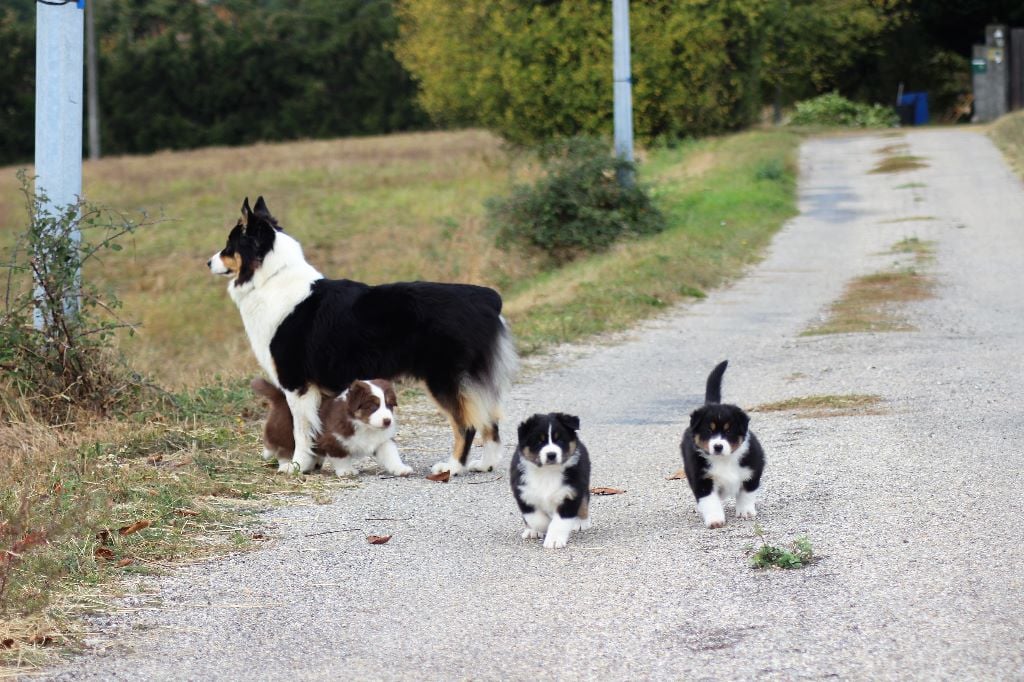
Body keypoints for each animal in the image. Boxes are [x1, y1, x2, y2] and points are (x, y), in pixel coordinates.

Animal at [207, 196, 516, 473]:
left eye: (229, 245)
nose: (208, 263)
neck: (271, 278)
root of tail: (487, 297)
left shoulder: (298, 385)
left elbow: (301, 430)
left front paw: (297, 466)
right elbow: (317, 427)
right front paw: (315, 463)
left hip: (445, 379)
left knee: (467, 424)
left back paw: (452, 467)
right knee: (491, 422)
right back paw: (485, 465)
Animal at [509, 409, 593, 548]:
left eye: (559, 440)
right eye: (539, 442)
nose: (551, 455)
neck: (547, 472)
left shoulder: (570, 493)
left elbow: (559, 522)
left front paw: (554, 540)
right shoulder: (523, 493)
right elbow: (536, 518)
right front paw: (541, 527)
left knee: (584, 500)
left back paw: (581, 522)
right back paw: (531, 531)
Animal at [684, 360, 765, 524]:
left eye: (728, 431)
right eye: (709, 431)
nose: (718, 446)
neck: (725, 460)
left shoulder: (753, 470)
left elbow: (746, 494)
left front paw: (746, 512)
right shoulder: (702, 479)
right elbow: (709, 501)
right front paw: (715, 520)